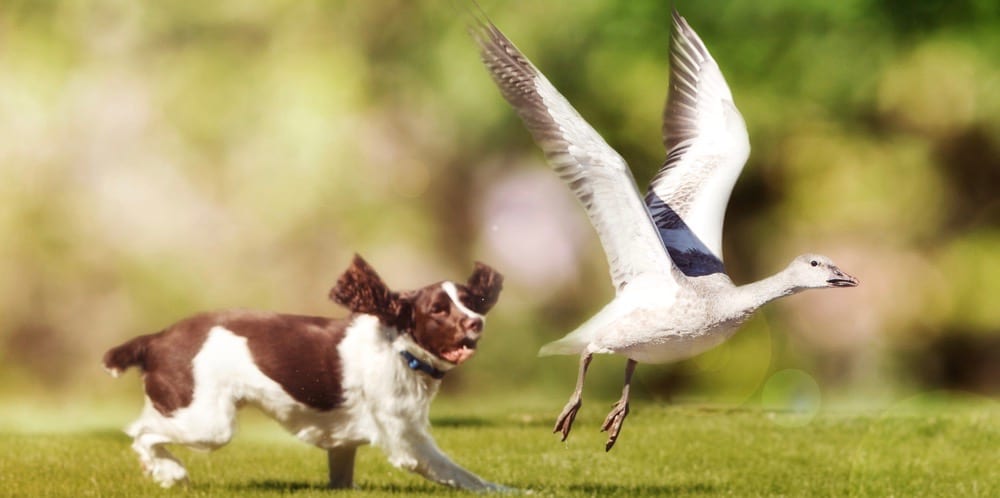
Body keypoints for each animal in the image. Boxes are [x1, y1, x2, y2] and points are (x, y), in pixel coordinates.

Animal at [105, 256, 504, 490]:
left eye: (470, 301)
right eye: (438, 310)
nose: (477, 322)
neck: (398, 347)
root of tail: (156, 338)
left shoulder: (344, 442)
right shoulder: (406, 438)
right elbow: (460, 474)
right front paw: (509, 490)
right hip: (208, 423)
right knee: (141, 433)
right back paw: (169, 472)